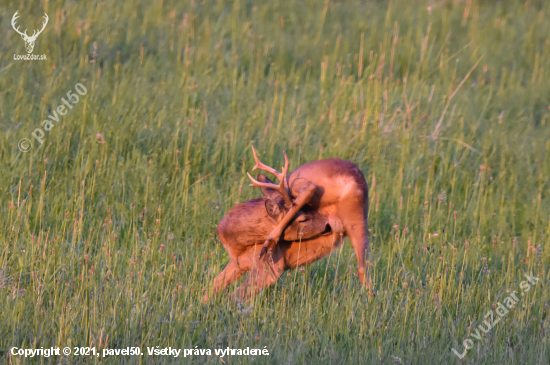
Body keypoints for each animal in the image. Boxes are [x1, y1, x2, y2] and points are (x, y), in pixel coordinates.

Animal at [248, 146, 374, 286]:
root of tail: (352, 179)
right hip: (358, 221)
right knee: (363, 268)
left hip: (306, 188)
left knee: (307, 190)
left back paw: (268, 245)